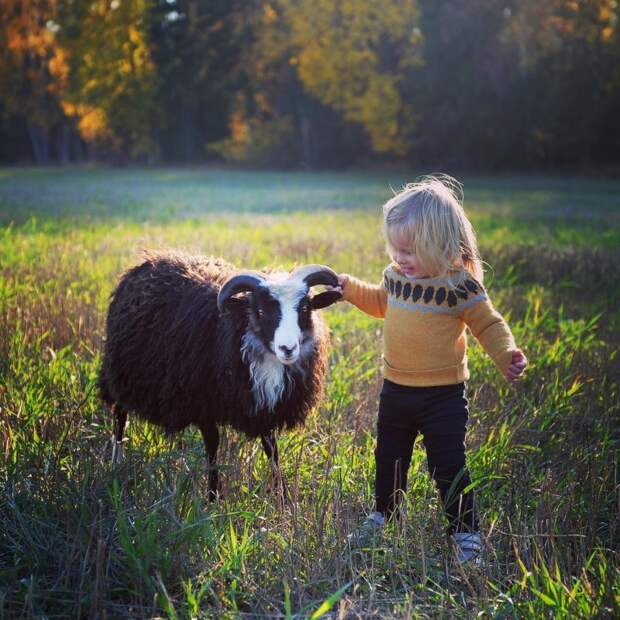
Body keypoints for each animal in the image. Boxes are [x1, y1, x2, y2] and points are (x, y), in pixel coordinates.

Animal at [97, 252, 342, 498]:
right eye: (260, 311)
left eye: (305, 308)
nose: (288, 349)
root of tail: (151, 258)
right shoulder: (203, 403)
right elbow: (213, 447)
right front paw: (213, 496)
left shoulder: (264, 407)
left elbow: (271, 448)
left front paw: (280, 495)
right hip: (120, 374)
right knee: (119, 416)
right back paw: (117, 462)